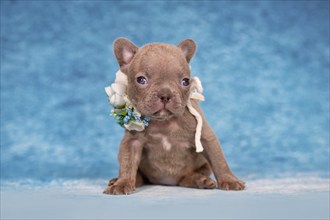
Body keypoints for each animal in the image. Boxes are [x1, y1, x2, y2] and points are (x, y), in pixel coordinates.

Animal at [104, 37, 245, 194]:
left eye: (185, 81)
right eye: (141, 80)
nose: (165, 95)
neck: (164, 122)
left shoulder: (206, 137)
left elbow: (219, 160)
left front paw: (229, 180)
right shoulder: (132, 142)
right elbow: (127, 164)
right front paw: (122, 183)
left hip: (201, 167)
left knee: (187, 178)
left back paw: (201, 181)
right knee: (139, 176)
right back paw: (119, 180)